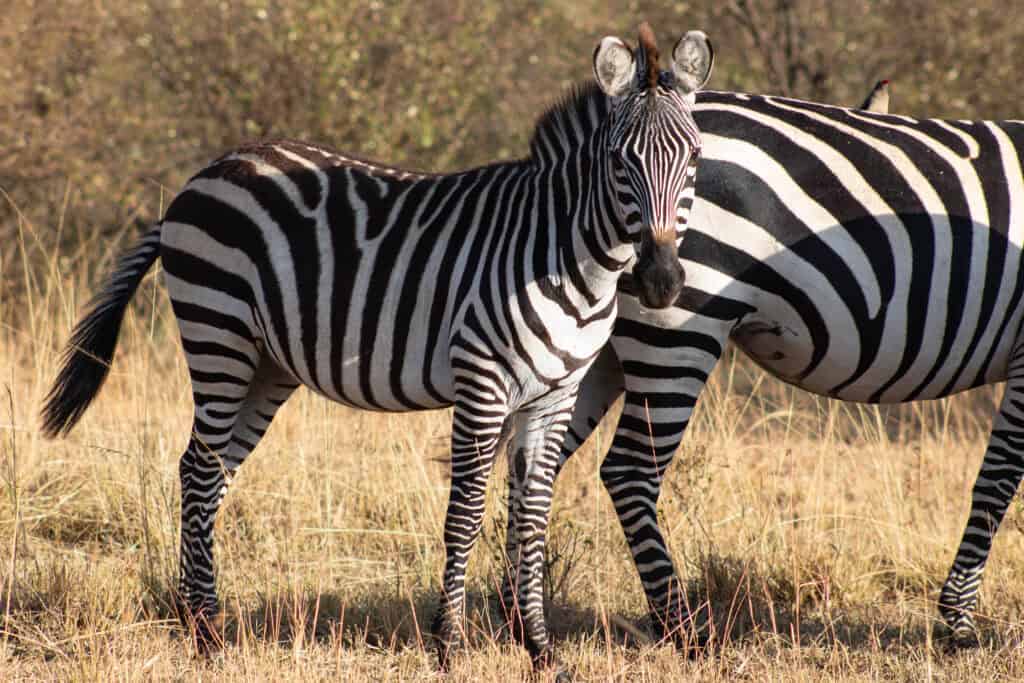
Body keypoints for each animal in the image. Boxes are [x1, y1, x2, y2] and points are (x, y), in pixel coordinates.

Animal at [40, 25, 714, 672]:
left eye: (695, 157)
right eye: (620, 160)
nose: (661, 281)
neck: (569, 256)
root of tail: (205, 174)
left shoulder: (554, 396)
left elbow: (531, 521)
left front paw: (542, 653)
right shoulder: (482, 383)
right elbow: (466, 514)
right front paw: (449, 648)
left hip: (265, 364)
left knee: (206, 472)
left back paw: (198, 623)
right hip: (219, 334)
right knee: (202, 470)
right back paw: (206, 637)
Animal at [499, 88, 1024, 650]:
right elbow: (997, 482)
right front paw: (960, 622)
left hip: (595, 349)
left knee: (534, 464)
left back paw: (516, 612)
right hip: (679, 326)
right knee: (629, 470)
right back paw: (682, 627)